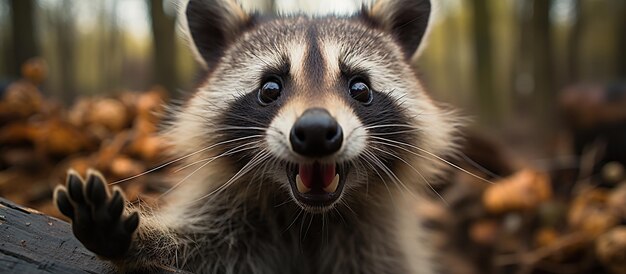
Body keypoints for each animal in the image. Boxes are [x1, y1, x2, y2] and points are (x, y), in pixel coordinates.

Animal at [54, 0, 458, 272]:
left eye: (360, 88)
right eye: (269, 89)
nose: (315, 131)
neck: (308, 218)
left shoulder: (379, 241)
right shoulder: (229, 222)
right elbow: (192, 247)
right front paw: (140, 241)